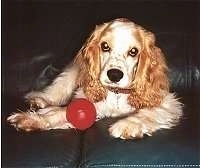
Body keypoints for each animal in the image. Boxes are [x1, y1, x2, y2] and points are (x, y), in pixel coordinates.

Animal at [7, 18, 183, 139]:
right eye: (105, 46)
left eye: (134, 51)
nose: (114, 75)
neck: (117, 93)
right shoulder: (89, 102)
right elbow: (60, 112)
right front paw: (31, 119)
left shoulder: (169, 103)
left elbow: (148, 112)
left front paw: (126, 125)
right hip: (71, 74)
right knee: (56, 92)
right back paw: (39, 100)